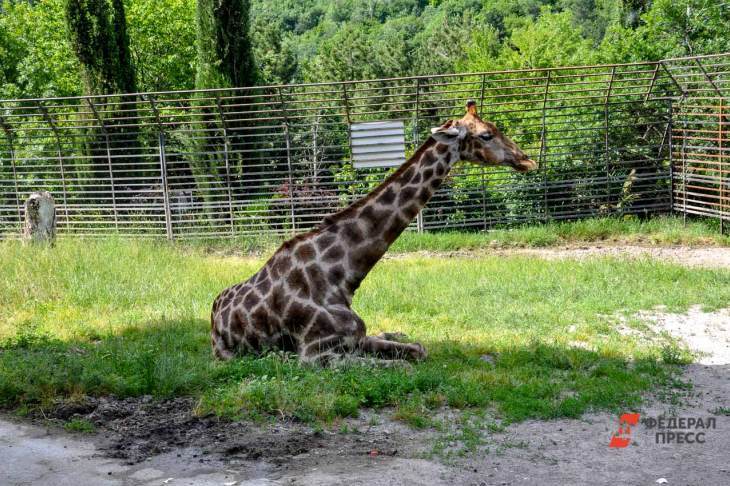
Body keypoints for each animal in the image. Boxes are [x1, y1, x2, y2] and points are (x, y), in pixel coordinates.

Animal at [210, 101, 536, 364]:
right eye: (486, 135)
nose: (527, 160)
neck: (340, 276)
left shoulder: (358, 337)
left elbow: (418, 350)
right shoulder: (315, 355)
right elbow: (397, 366)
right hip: (225, 353)